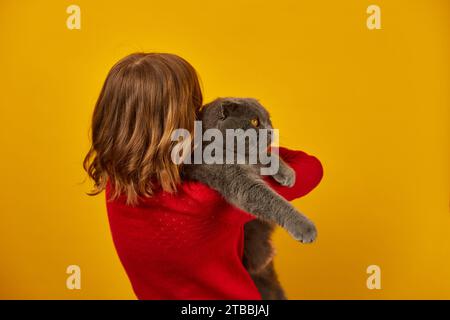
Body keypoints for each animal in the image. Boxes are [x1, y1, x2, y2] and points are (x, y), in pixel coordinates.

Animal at [182, 97, 316, 300]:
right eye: (254, 121)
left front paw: (287, 174)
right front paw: (305, 227)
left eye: (269, 119)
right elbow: (270, 199)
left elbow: (267, 154)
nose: (270, 130)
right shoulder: (235, 177)